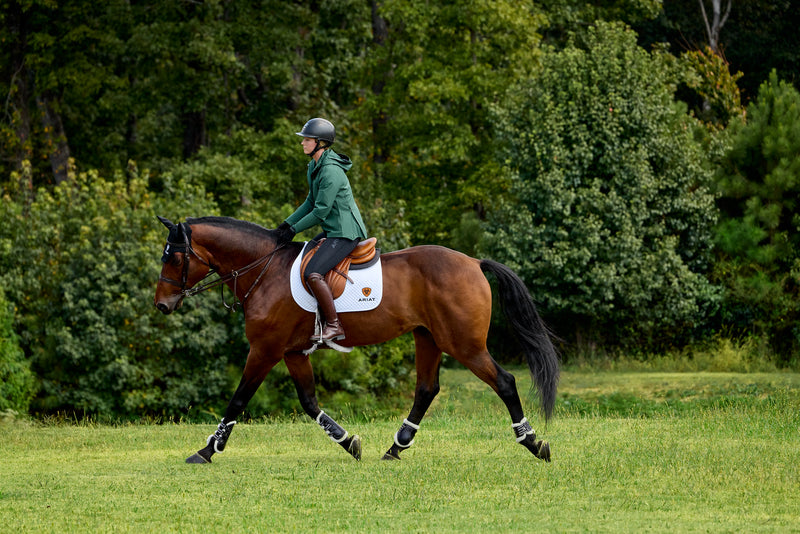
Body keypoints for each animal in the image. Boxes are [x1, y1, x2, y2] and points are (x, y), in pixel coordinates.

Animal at [153, 216, 559, 463]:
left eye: (174, 258)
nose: (162, 305)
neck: (264, 269)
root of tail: (474, 262)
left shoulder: (265, 350)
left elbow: (238, 399)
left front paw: (208, 449)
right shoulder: (293, 352)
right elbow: (309, 402)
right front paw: (349, 442)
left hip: (464, 344)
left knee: (504, 381)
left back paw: (534, 443)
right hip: (428, 338)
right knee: (426, 389)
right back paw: (396, 447)